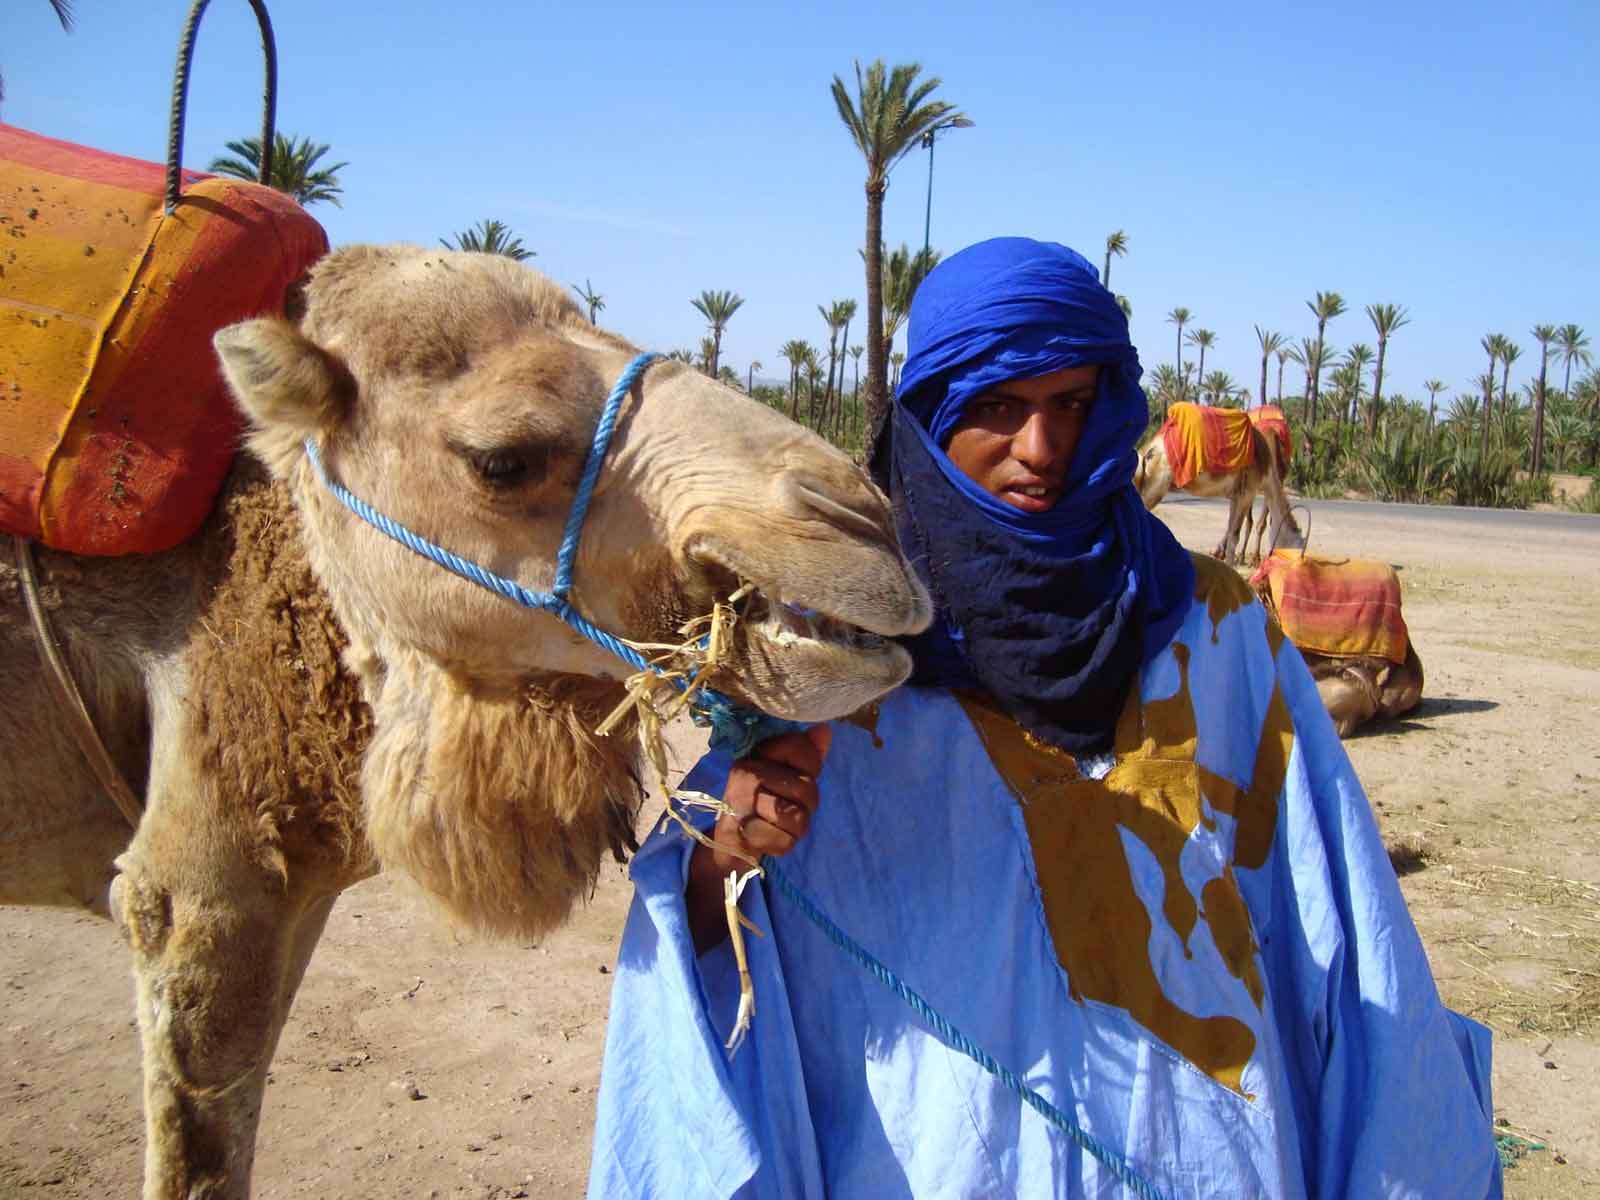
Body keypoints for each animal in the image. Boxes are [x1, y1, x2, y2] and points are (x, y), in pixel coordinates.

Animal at [1132, 404, 1305, 569]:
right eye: (1301, 551)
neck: (1268, 469)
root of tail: (1146, 452)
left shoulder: (1235, 496)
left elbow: (1230, 533)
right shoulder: (1248, 492)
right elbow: (1234, 536)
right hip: (1156, 487)